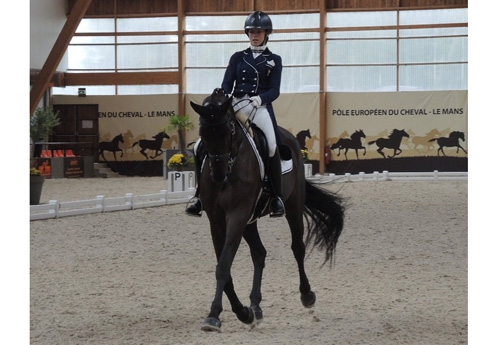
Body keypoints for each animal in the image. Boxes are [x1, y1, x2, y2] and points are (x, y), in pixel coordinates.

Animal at [188, 88, 344, 330]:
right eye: (203, 133)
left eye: (228, 130)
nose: (218, 175)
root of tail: (288, 137)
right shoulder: (217, 220)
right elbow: (224, 268)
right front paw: (242, 312)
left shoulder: (237, 215)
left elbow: (223, 266)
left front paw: (214, 315)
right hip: (249, 220)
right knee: (259, 253)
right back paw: (255, 306)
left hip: (292, 206)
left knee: (297, 247)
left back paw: (307, 295)